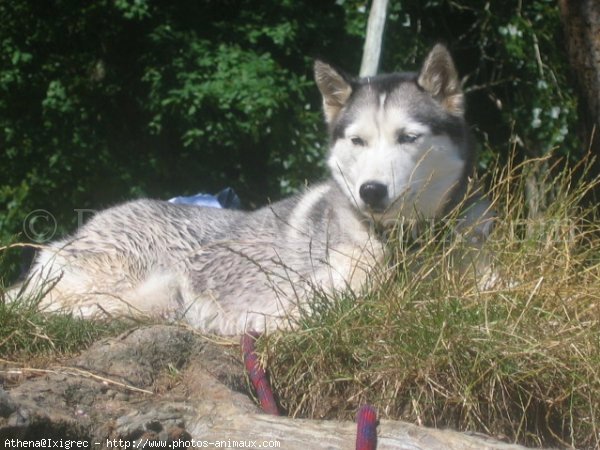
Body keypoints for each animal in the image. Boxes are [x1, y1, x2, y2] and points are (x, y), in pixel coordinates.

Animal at [15, 44, 492, 334]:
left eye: (408, 137)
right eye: (358, 141)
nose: (370, 191)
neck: (410, 244)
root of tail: (86, 226)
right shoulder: (316, 301)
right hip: (148, 289)